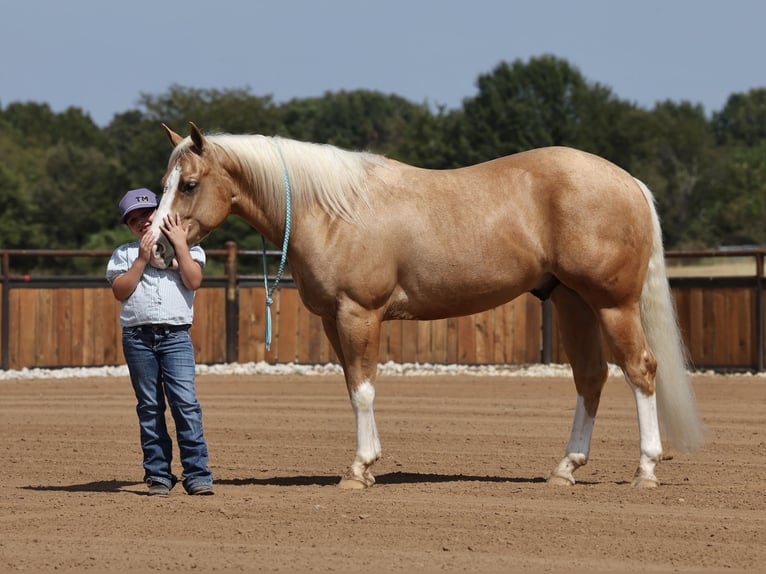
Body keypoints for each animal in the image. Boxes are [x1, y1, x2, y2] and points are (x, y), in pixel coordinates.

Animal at [151, 122, 705, 489]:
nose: (157, 248)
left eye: (191, 184)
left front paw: (359, 469)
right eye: (163, 185)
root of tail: (628, 182)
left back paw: (645, 469)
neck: (330, 209)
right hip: (571, 302)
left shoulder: (359, 313)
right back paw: (565, 468)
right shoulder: (334, 320)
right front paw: (366, 464)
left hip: (613, 305)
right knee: (591, 378)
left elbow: (364, 391)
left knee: (640, 370)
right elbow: (354, 387)